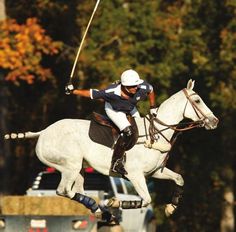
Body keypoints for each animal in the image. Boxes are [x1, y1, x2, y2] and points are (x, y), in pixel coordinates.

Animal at [4, 80, 218, 219]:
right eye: (197, 101)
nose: (214, 121)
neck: (155, 132)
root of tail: (43, 132)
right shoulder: (135, 175)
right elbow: (146, 199)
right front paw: (114, 202)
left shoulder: (156, 172)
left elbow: (179, 178)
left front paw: (171, 207)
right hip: (69, 165)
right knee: (63, 190)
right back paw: (100, 207)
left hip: (79, 168)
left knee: (78, 190)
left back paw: (99, 209)